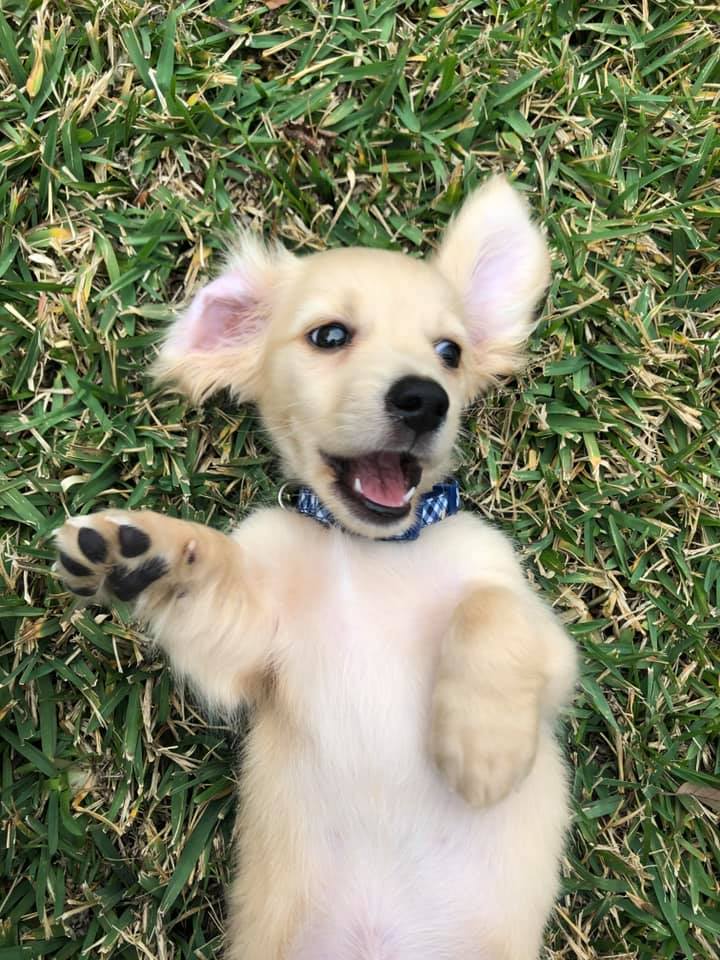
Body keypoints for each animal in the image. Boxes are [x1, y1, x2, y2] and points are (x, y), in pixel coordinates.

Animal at [54, 178, 580, 960]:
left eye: (450, 351)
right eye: (329, 336)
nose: (425, 398)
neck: (369, 551)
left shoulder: (544, 635)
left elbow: (487, 610)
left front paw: (482, 748)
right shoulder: (251, 644)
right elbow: (214, 566)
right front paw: (146, 551)